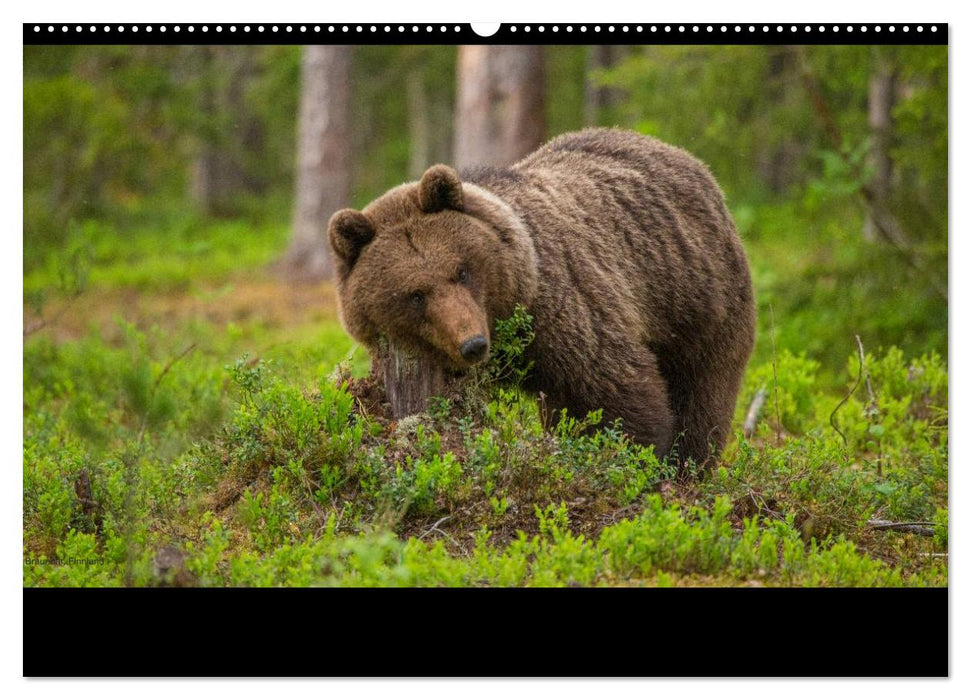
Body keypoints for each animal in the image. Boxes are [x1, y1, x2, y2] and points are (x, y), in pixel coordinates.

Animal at [330, 129, 756, 468]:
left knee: (703, 389)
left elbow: (616, 388)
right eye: (415, 295)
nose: (473, 344)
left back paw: (692, 463)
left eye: (462, 271)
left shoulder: (565, 312)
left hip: (699, 295)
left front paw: (635, 457)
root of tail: (684, 157)